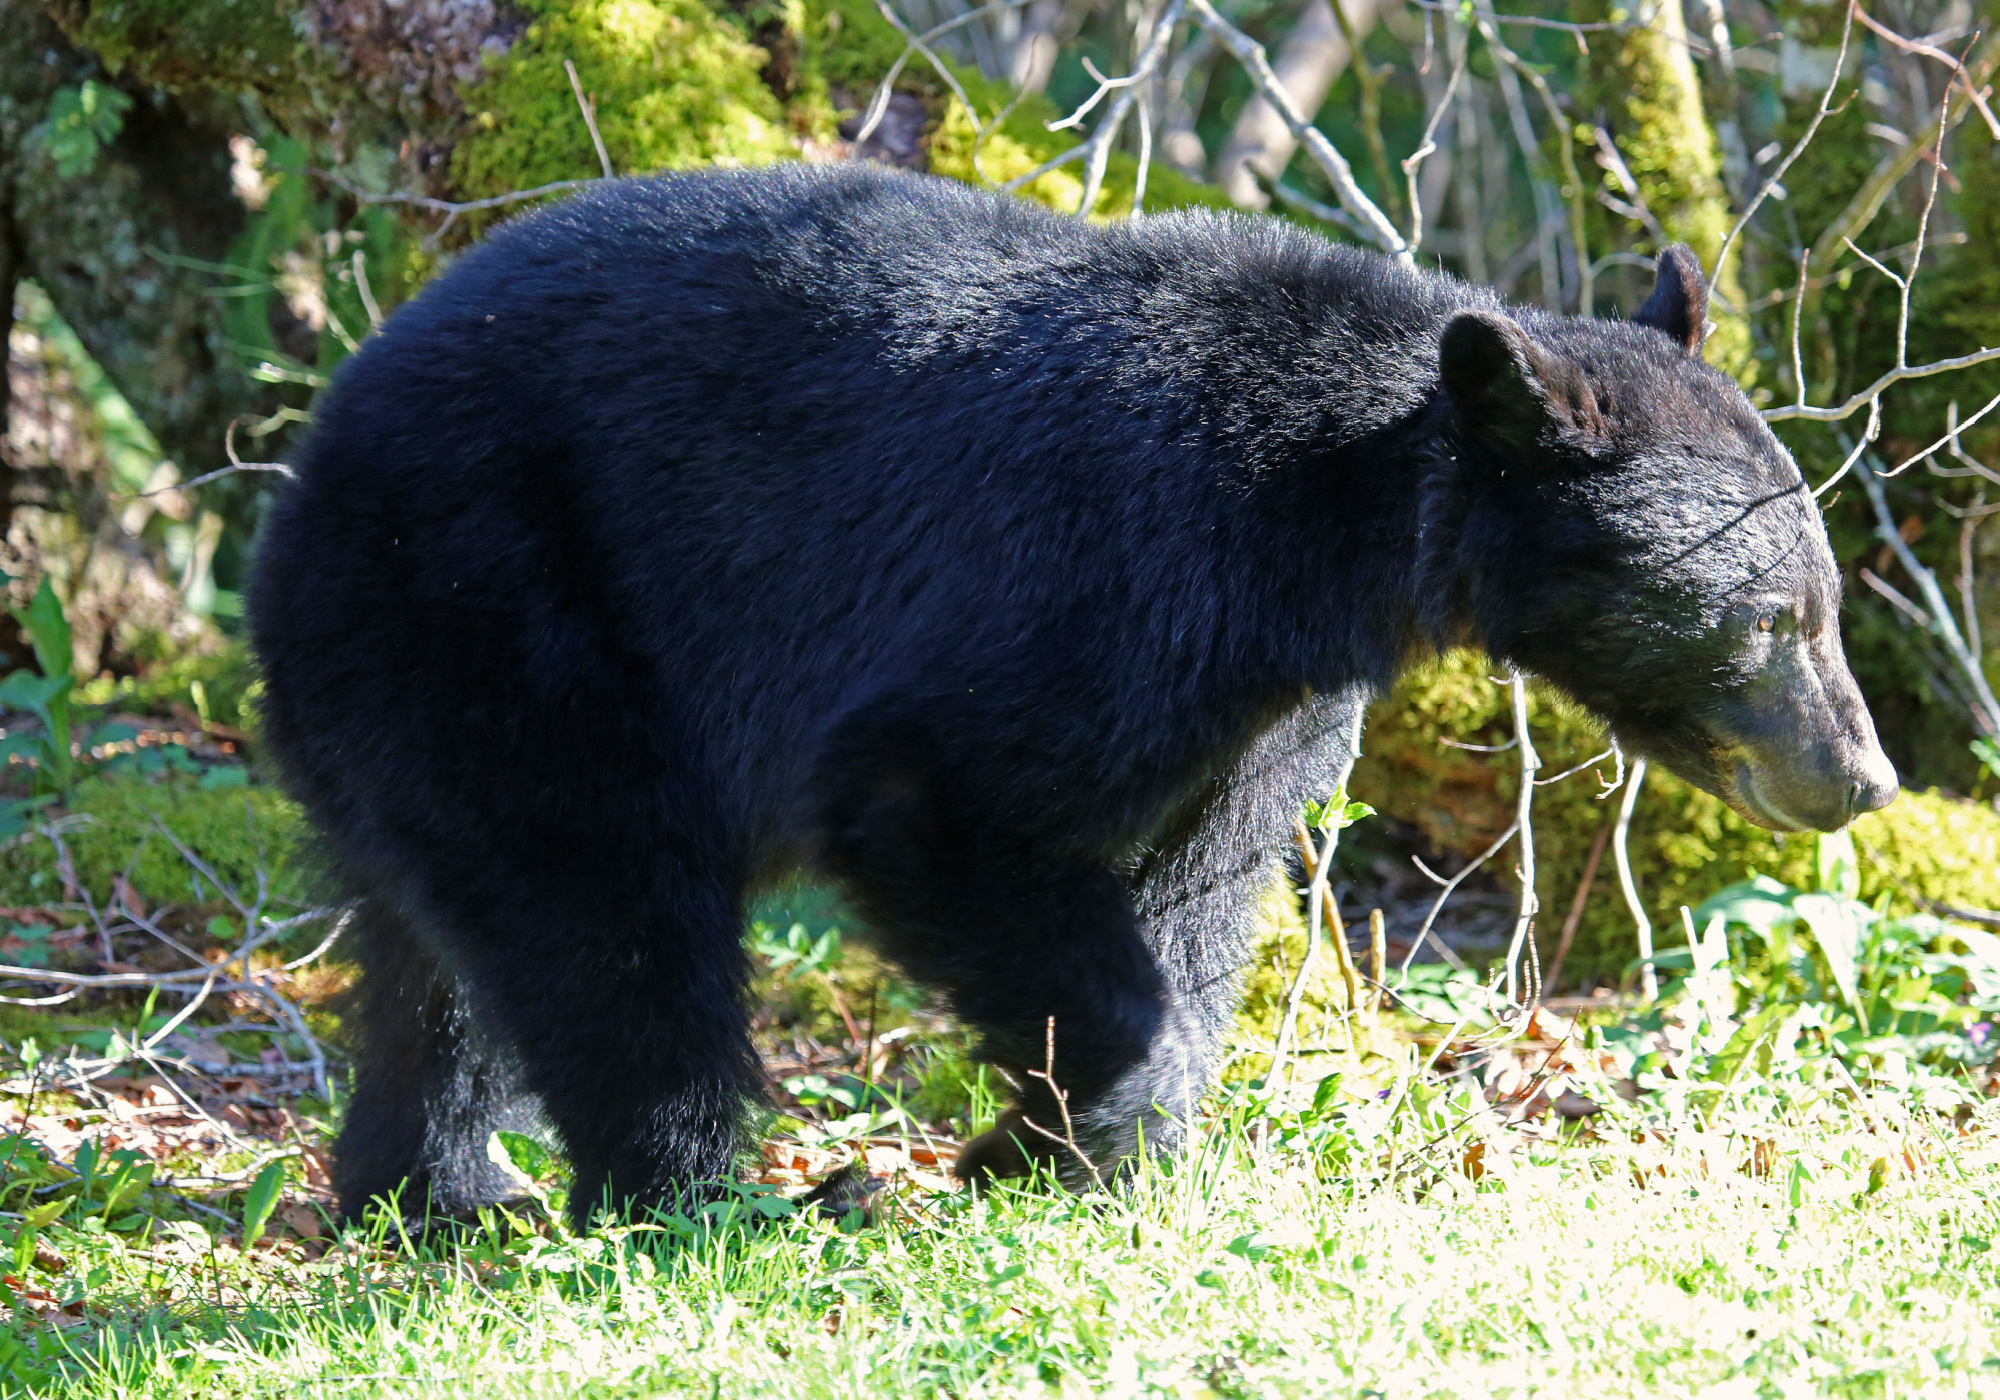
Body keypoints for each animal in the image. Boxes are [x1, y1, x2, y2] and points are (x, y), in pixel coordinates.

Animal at [250, 159, 1888, 1216]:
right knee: (606, 919)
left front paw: (1088, 1151)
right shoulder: (1103, 571)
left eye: (1823, 601)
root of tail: (306, 465)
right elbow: (944, 802)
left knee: (444, 959)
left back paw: (433, 1186)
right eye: (1771, 620)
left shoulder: (1271, 698)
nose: (1860, 778)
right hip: (512, 611)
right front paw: (1044, 1139)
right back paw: (709, 1193)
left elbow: (1206, 877)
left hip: (413, 687)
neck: (1332, 515)